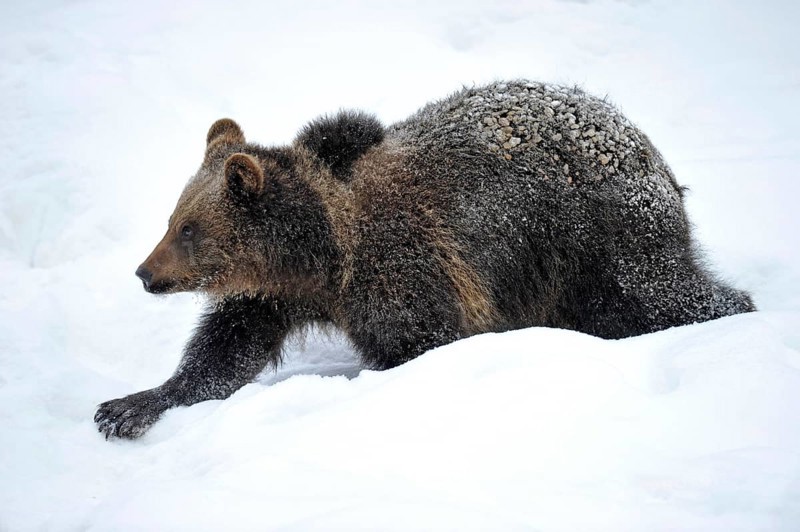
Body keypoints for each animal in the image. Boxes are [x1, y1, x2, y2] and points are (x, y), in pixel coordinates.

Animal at [95, 80, 754, 439]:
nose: (145, 274)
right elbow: (224, 352)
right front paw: (128, 406)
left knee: (656, 293)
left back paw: (729, 311)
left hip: (598, 238)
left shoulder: (404, 269)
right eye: (171, 218)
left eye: (188, 229)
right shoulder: (272, 295)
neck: (321, 256)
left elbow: (422, 342)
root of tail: (651, 153)